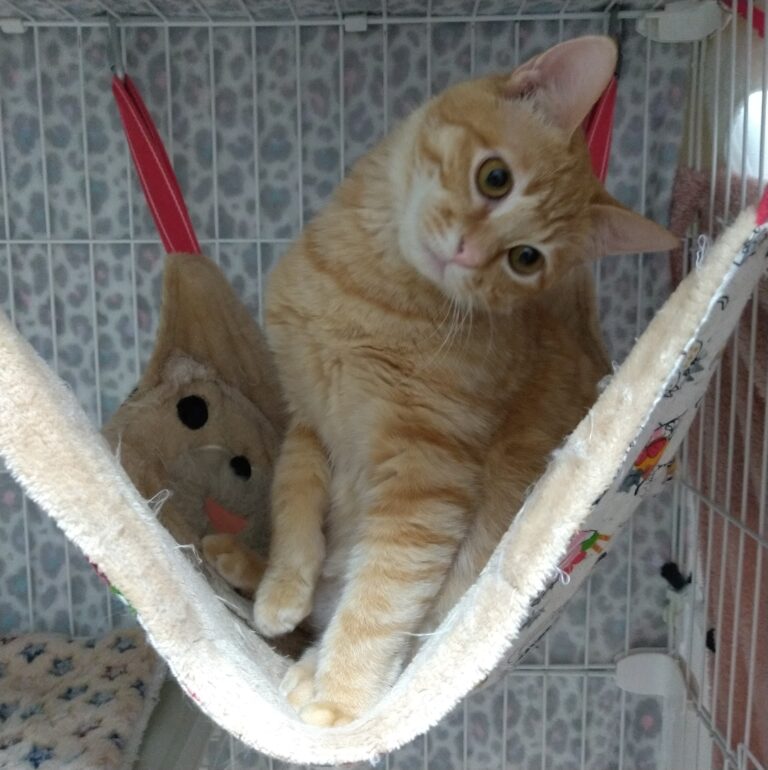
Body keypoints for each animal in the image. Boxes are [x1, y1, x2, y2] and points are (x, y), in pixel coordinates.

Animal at [209, 35, 677, 726]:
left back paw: (309, 669)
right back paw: (244, 565)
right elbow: (293, 499)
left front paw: (339, 703)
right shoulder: (309, 419)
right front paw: (281, 586)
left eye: (525, 259)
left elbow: (381, 597)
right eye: (494, 177)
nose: (466, 254)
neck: (363, 292)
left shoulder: (427, 479)